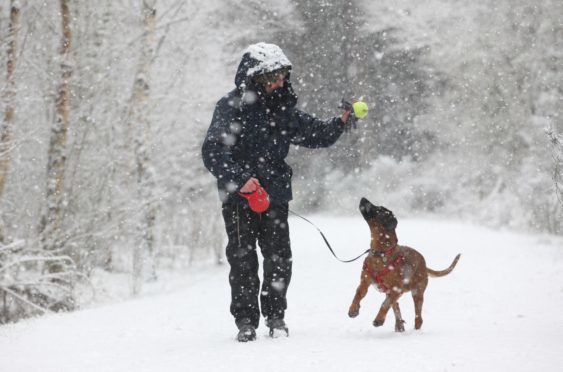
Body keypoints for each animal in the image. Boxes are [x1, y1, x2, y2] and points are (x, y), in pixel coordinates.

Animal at [348, 198, 462, 332]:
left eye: (379, 209)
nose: (363, 198)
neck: (381, 253)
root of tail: (424, 264)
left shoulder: (397, 289)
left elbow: (385, 304)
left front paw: (378, 319)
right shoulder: (365, 282)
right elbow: (357, 294)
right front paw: (353, 309)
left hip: (417, 292)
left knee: (417, 316)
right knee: (395, 305)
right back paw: (399, 324)